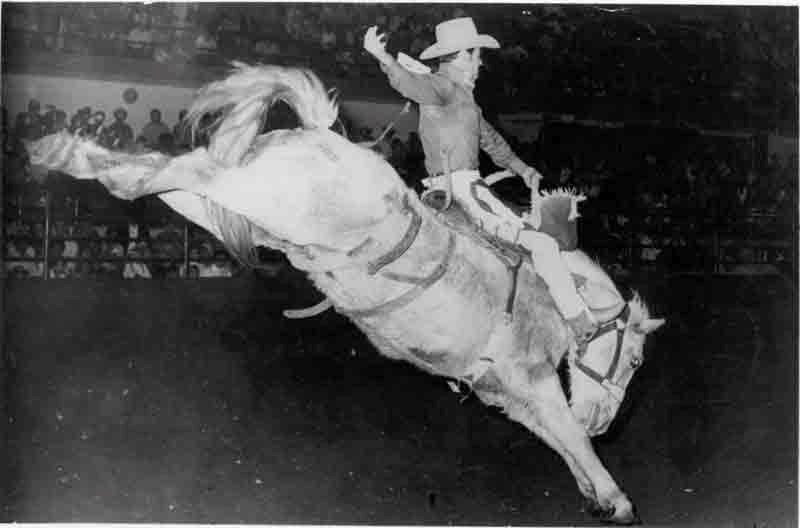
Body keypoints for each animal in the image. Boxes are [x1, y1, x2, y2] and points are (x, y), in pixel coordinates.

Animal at [26, 63, 664, 524]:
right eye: (634, 359)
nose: (605, 422)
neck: (549, 292)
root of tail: (322, 136)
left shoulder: (508, 394)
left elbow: (559, 439)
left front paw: (595, 493)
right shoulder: (530, 378)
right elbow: (569, 436)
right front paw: (617, 496)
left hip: (247, 208)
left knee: (168, 177)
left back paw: (73, 156)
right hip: (255, 196)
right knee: (173, 173)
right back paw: (64, 153)